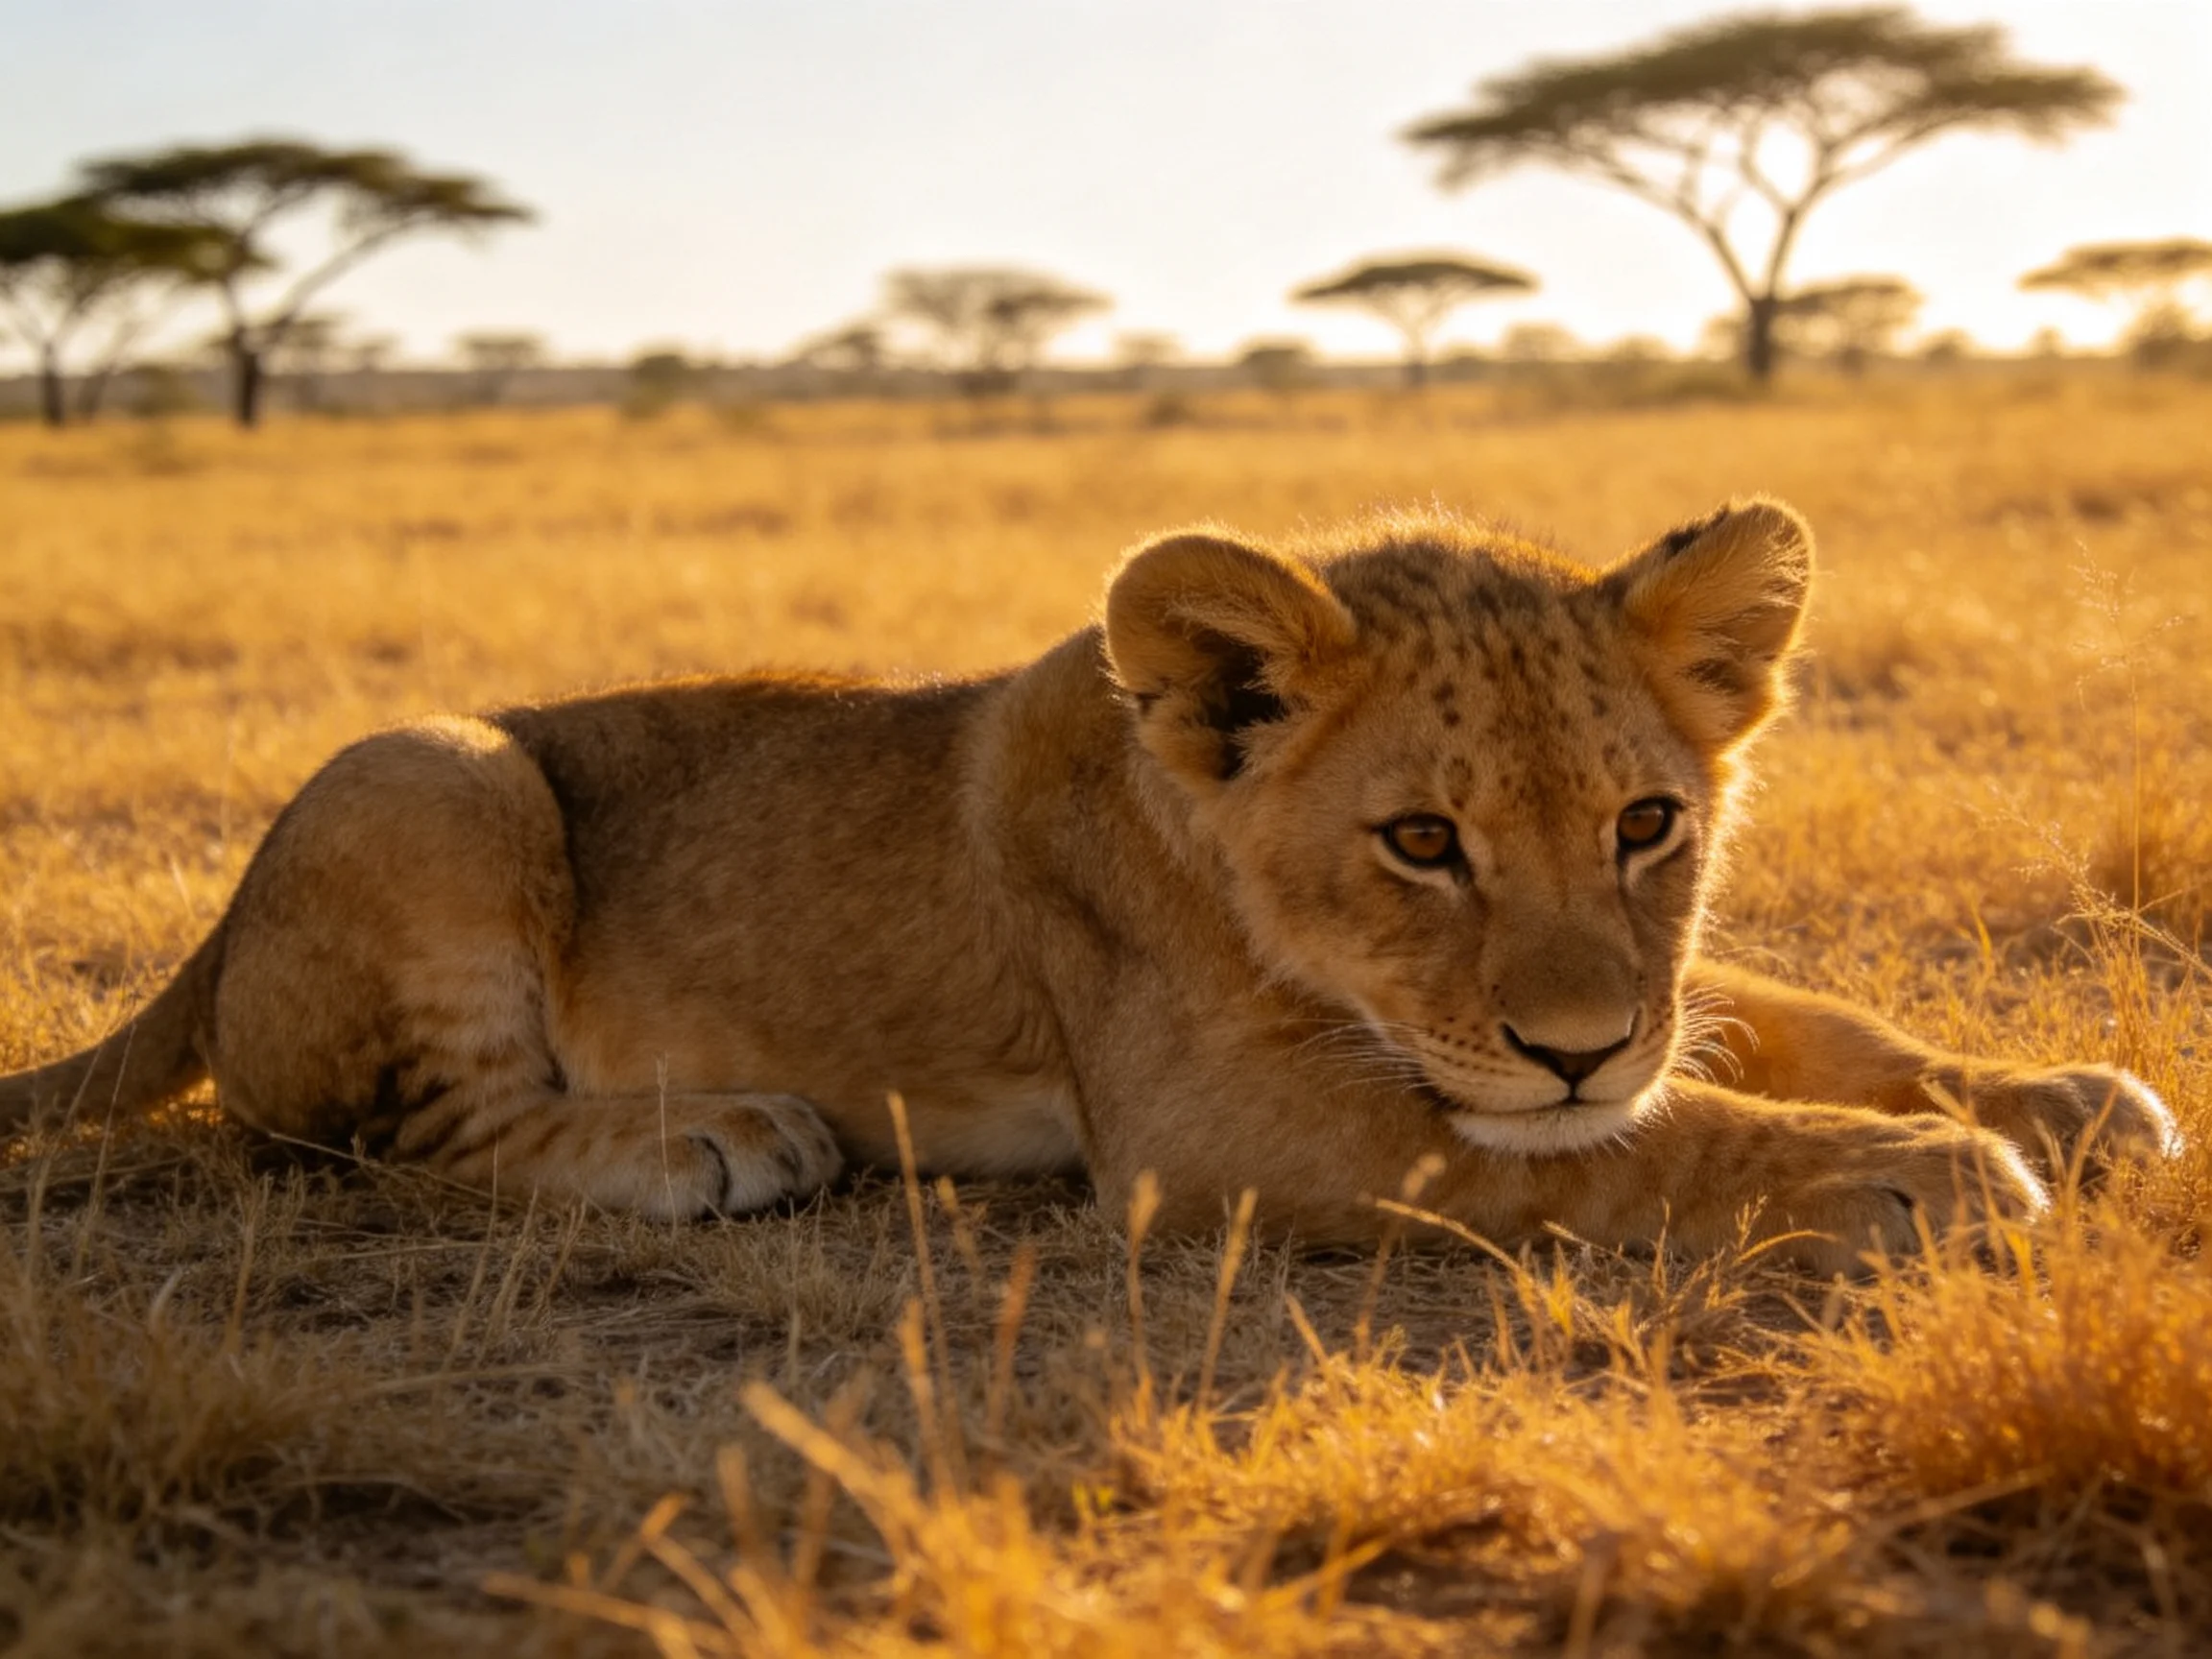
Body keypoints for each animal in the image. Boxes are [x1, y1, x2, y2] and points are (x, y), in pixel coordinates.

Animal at [0, 499, 2176, 1274]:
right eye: (1421, 841)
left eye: (1647, 824)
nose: (1570, 1042)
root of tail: (220, 917)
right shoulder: (1215, 1131)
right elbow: (1632, 1148)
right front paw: (1925, 1173)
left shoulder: (1659, 992)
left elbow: (1810, 1021)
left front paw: (2061, 1094)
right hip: (438, 765)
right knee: (381, 1141)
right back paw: (715, 1136)